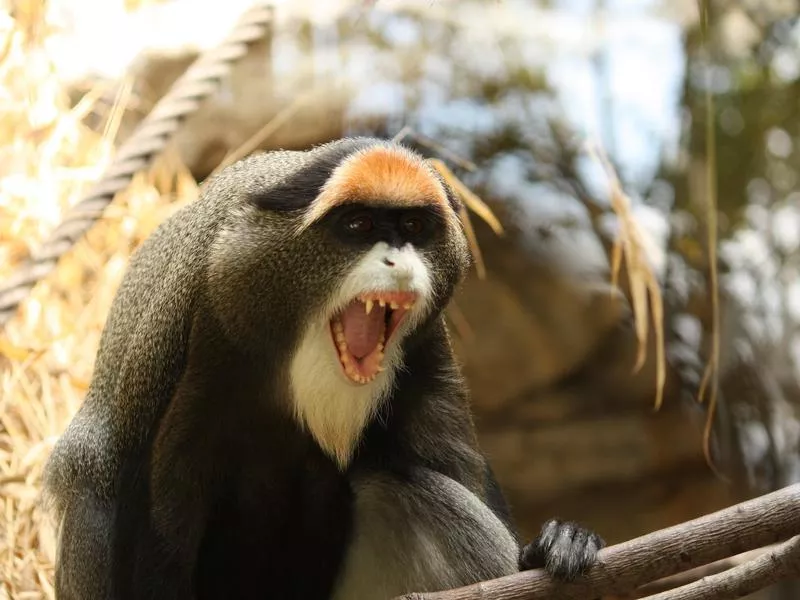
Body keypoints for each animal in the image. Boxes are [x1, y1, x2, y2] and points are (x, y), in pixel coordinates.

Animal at [43, 137, 604, 600]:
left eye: (413, 227)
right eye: (357, 226)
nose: (399, 261)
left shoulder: (428, 349)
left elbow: (458, 473)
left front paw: (555, 543)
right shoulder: (211, 334)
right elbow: (164, 528)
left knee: (402, 487)